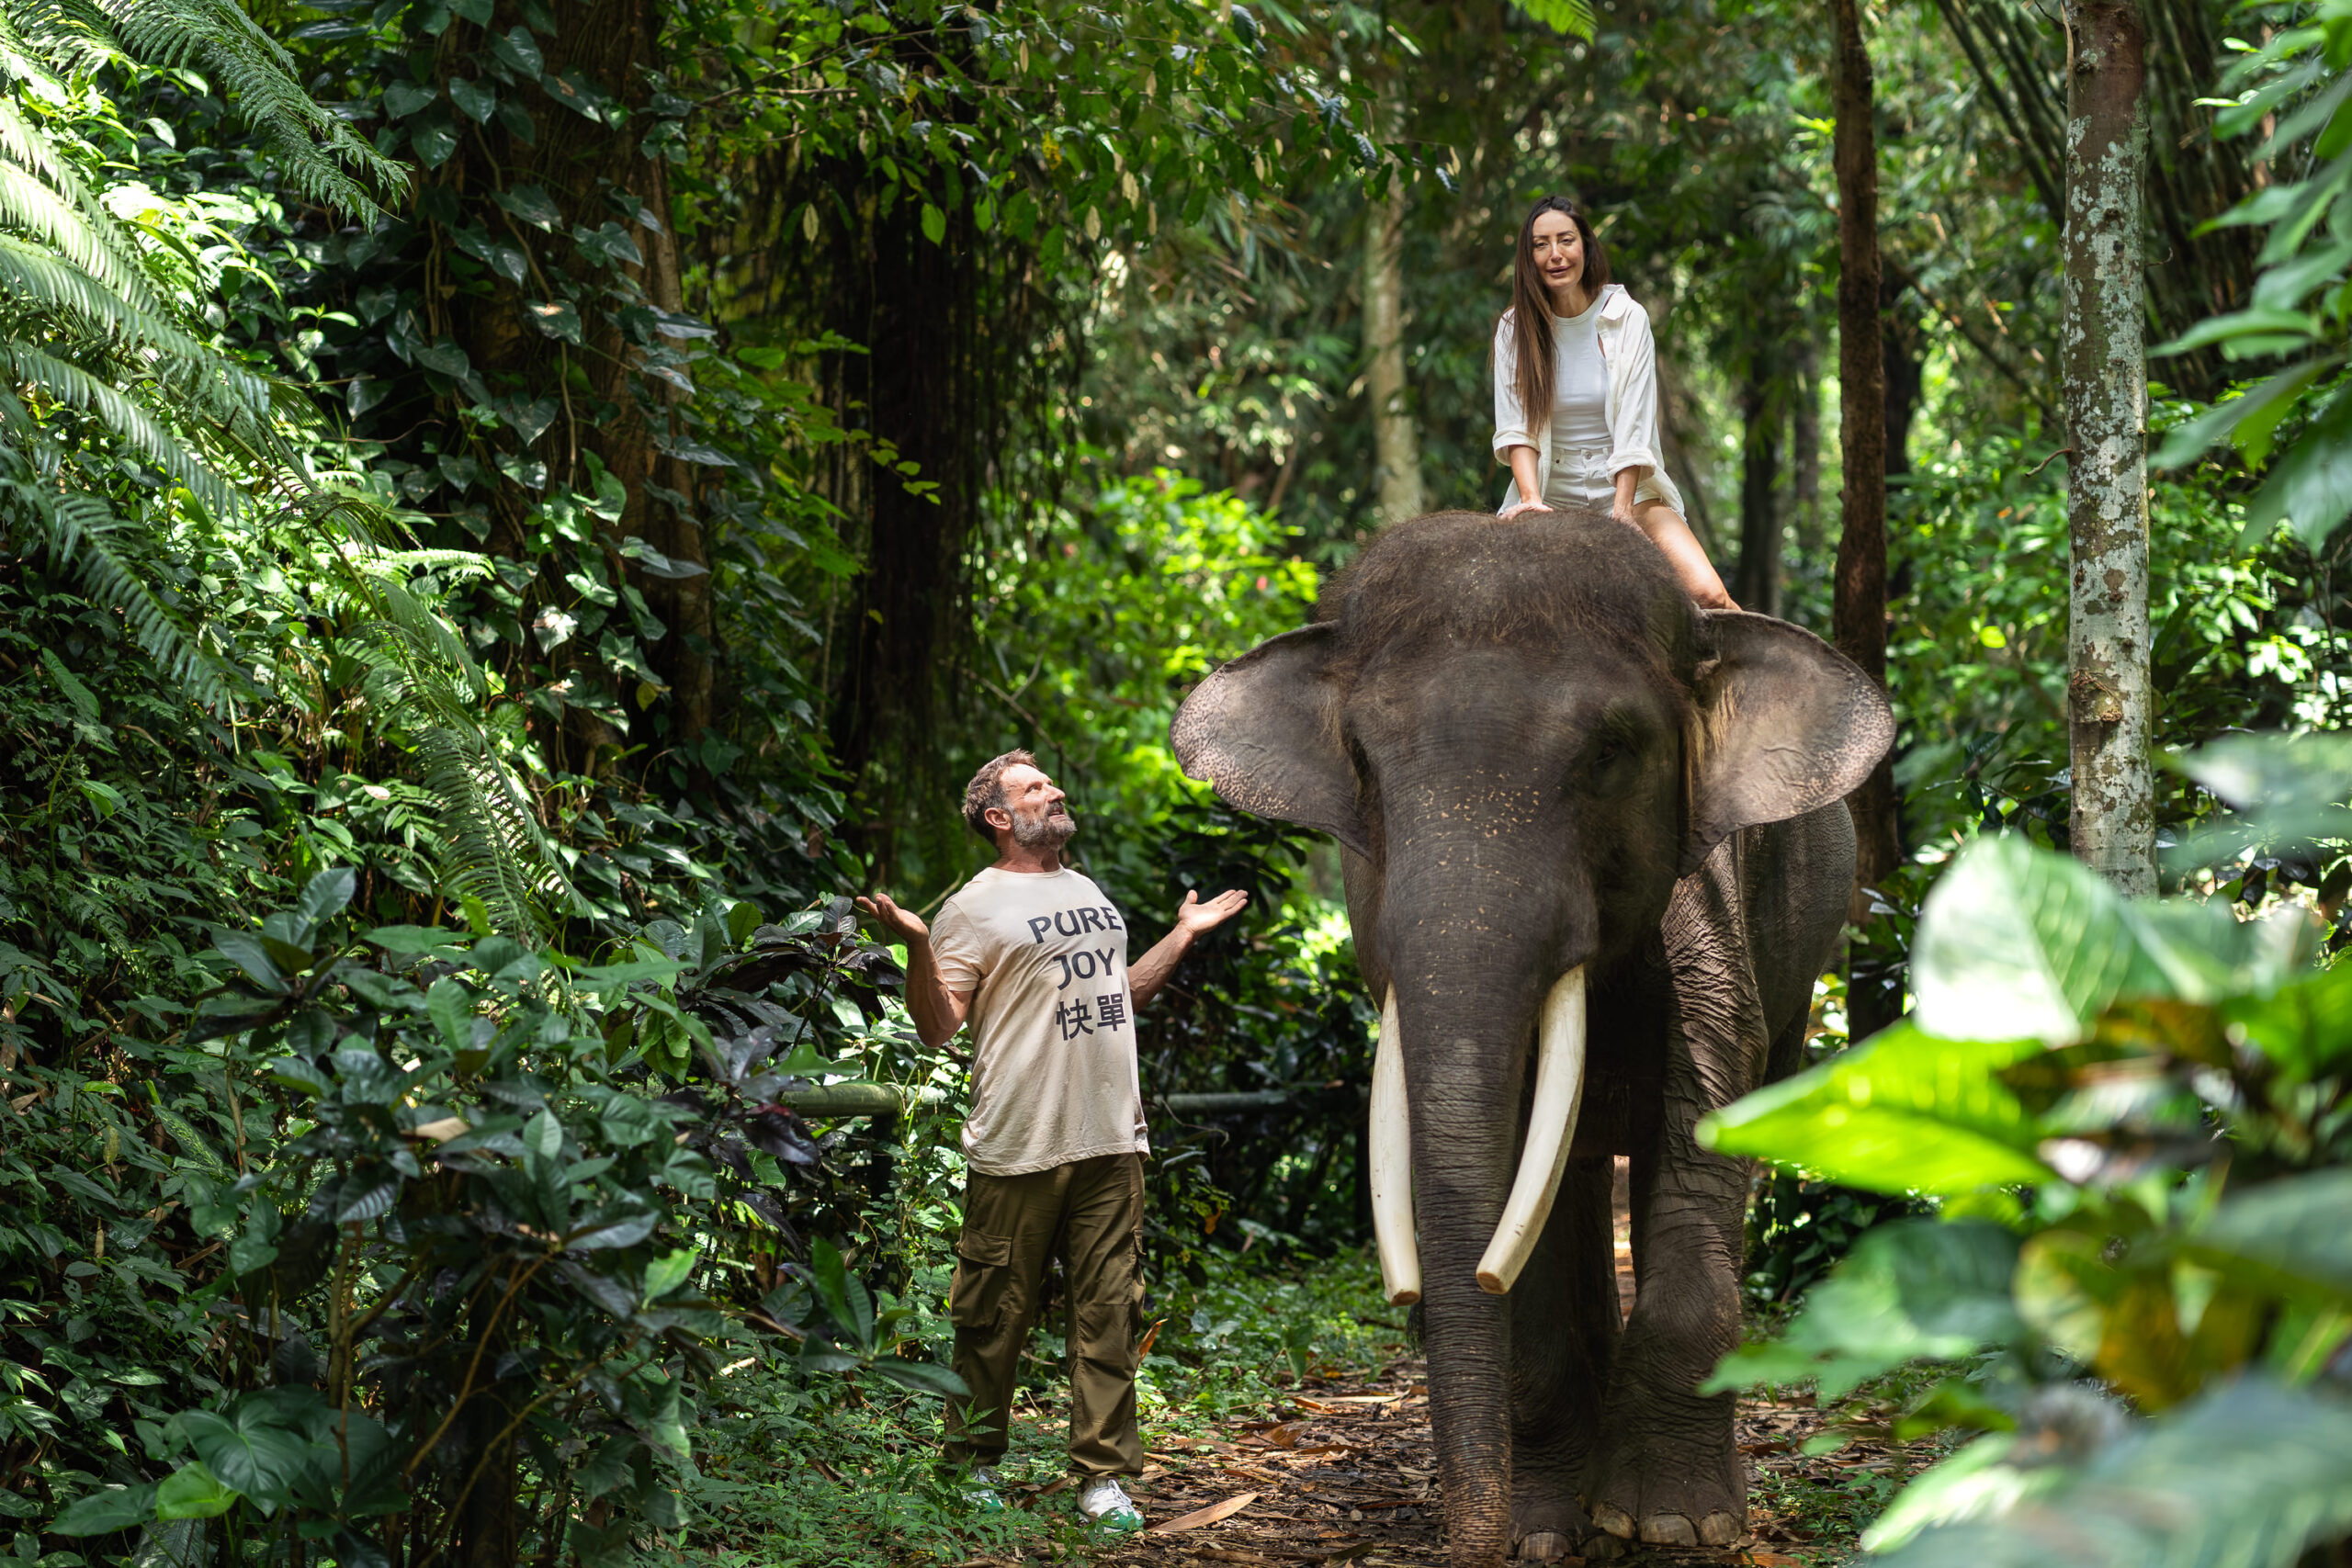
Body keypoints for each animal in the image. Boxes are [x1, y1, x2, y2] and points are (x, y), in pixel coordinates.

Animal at [1169, 509, 1892, 1566]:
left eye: (1610, 752)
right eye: (1363, 763)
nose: (1473, 1541)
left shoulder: (1711, 902)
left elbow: (1709, 1100)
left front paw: (1673, 1524)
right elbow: (1515, 1170)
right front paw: (1543, 1533)